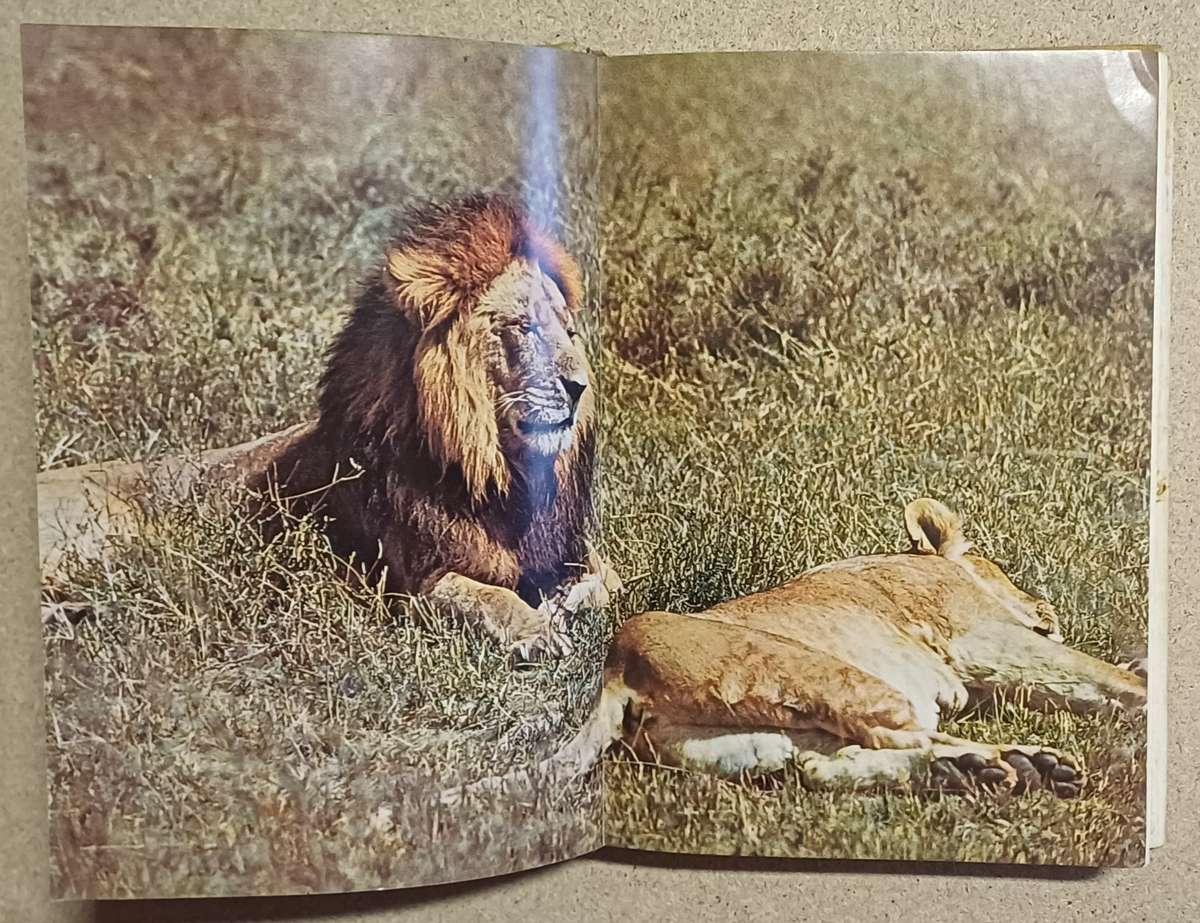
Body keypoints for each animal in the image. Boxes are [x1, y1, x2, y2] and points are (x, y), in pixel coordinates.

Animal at [37, 194, 615, 658]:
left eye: (569, 331)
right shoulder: (413, 585)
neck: (501, 472)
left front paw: (564, 606)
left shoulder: (574, 551)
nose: (580, 387)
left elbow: (608, 581)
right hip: (110, 529)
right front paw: (536, 629)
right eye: (523, 327)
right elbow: (488, 597)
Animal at [451, 498, 1146, 801]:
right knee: (901, 737)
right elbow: (1089, 672)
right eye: (1001, 566)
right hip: (821, 674)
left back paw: (998, 769)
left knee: (827, 767)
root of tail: (617, 667)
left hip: (760, 734)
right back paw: (1010, 766)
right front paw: (1144, 690)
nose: (1047, 609)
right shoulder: (983, 640)